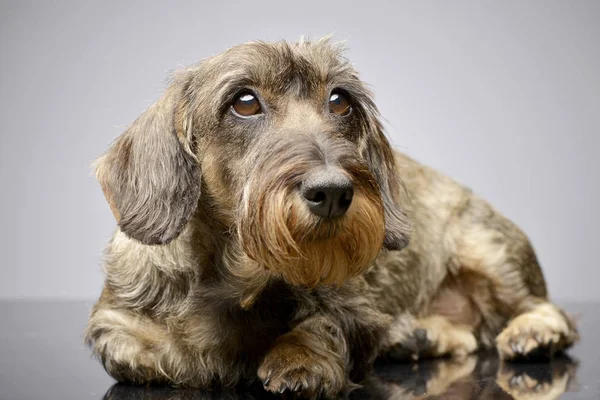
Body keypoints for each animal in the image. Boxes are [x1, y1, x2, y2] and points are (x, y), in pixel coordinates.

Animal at [84, 36, 576, 396]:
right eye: (244, 101)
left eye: (340, 100)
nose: (334, 192)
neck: (239, 276)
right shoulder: (117, 328)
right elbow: (148, 354)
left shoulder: (354, 311)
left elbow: (323, 325)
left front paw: (300, 357)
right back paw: (419, 337)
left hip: (487, 249)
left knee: (548, 312)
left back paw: (533, 332)